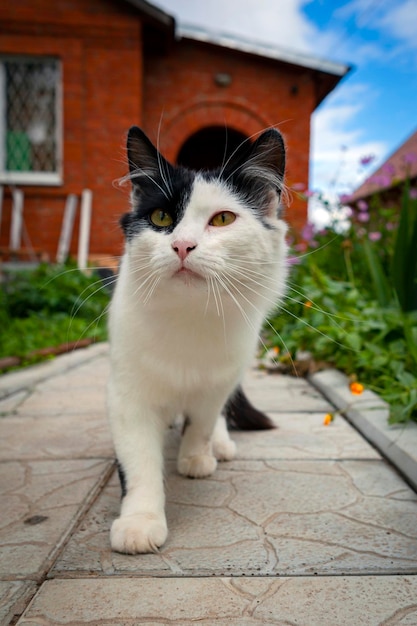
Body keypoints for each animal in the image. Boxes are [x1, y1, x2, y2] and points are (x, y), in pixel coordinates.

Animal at [107, 125, 288, 552]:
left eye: (222, 219)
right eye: (160, 217)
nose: (181, 246)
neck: (189, 315)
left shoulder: (217, 381)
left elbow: (203, 421)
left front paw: (194, 458)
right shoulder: (129, 395)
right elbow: (138, 462)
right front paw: (139, 523)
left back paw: (218, 447)